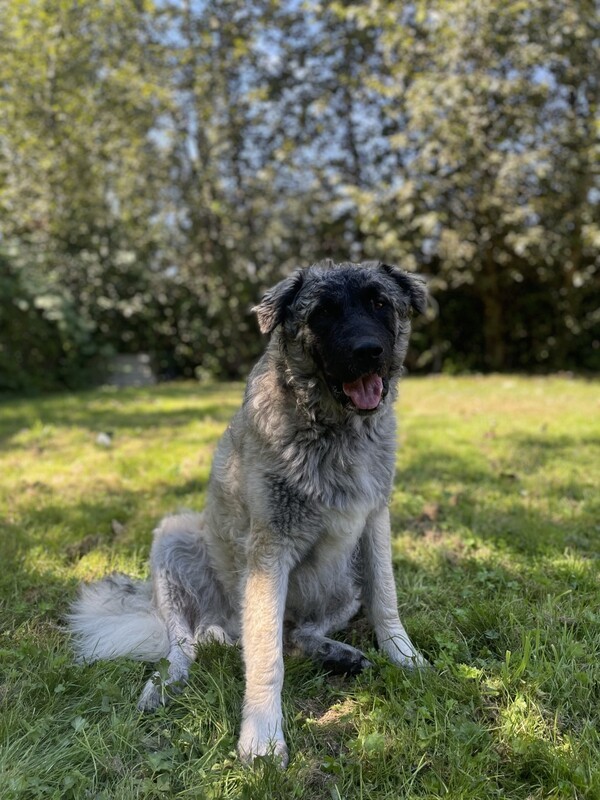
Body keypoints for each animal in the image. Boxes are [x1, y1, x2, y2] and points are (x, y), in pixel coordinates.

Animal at [68, 260, 428, 764]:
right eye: (322, 313)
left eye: (379, 302)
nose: (368, 352)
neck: (333, 429)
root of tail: (222, 626)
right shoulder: (268, 551)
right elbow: (265, 655)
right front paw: (261, 736)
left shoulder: (375, 523)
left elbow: (386, 600)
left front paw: (405, 656)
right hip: (174, 538)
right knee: (185, 645)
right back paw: (165, 684)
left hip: (343, 583)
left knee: (296, 634)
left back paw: (333, 652)